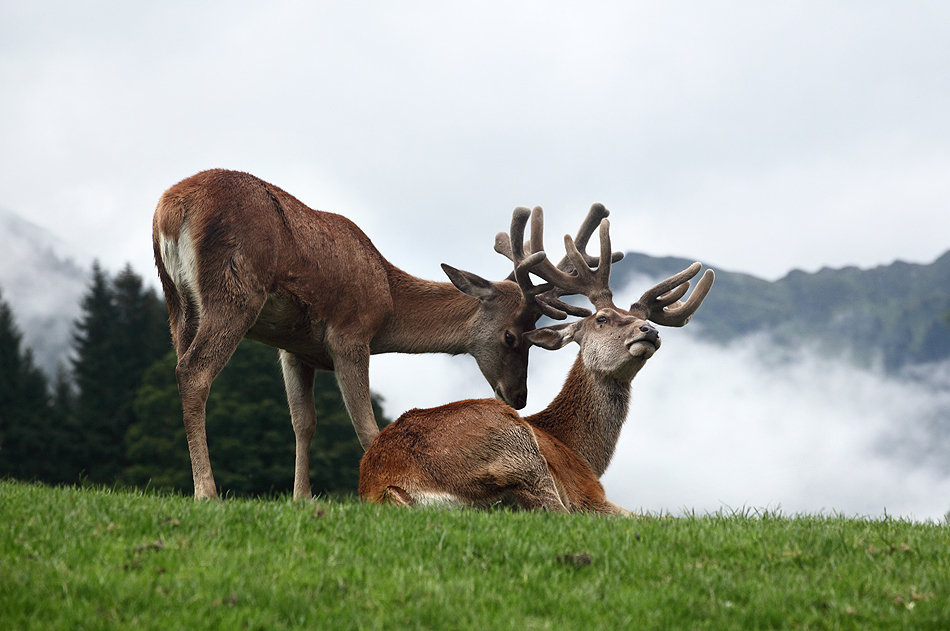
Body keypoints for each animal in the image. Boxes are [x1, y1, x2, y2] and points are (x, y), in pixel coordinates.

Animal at [152, 170, 620, 502]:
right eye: (512, 337)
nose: (518, 398)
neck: (387, 302)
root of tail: (171, 211)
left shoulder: (293, 348)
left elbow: (303, 421)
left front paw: (301, 498)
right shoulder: (350, 333)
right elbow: (366, 426)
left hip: (177, 302)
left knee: (181, 363)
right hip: (234, 291)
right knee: (193, 372)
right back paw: (206, 492)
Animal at [358, 212, 712, 512]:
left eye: (644, 321)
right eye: (602, 318)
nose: (650, 330)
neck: (580, 452)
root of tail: (386, 485)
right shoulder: (588, 494)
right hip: (518, 449)